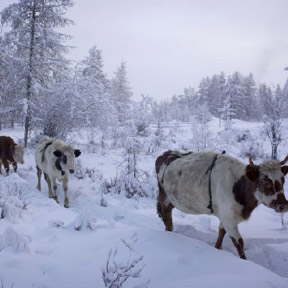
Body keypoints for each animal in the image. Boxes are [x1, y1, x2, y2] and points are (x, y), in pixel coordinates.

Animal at [156, 151, 288, 258]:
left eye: (283, 180)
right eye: (265, 182)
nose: (283, 206)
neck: (238, 186)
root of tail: (167, 154)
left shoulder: (225, 216)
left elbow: (220, 235)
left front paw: (217, 249)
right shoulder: (229, 218)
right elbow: (239, 243)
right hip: (165, 199)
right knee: (167, 218)